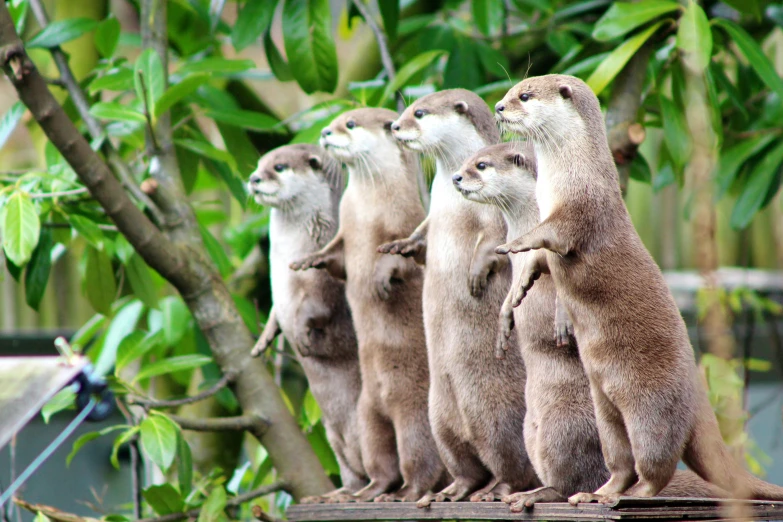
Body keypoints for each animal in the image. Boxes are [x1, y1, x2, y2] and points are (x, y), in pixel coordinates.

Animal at [247, 144, 366, 502]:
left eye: (279, 167)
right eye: (259, 164)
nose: (253, 179)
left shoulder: (321, 276)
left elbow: (316, 309)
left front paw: (300, 338)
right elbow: (275, 310)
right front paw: (263, 340)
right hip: (334, 436)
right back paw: (336, 494)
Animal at [290, 108, 450, 500]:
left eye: (350, 124)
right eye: (336, 120)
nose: (324, 131)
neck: (366, 208)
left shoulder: (401, 219)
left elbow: (399, 256)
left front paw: (380, 279)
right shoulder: (346, 229)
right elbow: (334, 256)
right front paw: (308, 260)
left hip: (413, 416)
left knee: (420, 462)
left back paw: (408, 493)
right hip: (367, 416)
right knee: (380, 462)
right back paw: (369, 491)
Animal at [378, 89, 540, 504]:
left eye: (419, 113)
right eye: (406, 108)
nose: (395, 126)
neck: (451, 205)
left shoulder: (495, 218)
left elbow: (495, 243)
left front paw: (476, 274)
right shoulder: (432, 216)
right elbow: (421, 234)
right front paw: (401, 247)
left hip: (495, 416)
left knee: (511, 465)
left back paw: (497, 491)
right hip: (438, 415)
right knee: (464, 463)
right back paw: (450, 491)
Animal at [454, 141, 736, 508]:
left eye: (481, 165)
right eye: (469, 160)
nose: (456, 177)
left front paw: (561, 320)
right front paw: (506, 316)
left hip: (562, 426)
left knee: (570, 480)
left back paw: (536, 494)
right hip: (530, 428)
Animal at [494, 73, 783, 500]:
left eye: (524, 95)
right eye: (510, 91)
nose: (498, 107)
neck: (564, 179)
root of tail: (698, 396)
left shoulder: (581, 207)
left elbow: (551, 234)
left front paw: (514, 244)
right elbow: (540, 261)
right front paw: (517, 289)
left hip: (650, 408)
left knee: (656, 461)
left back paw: (630, 495)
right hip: (604, 408)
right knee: (621, 461)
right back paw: (598, 493)